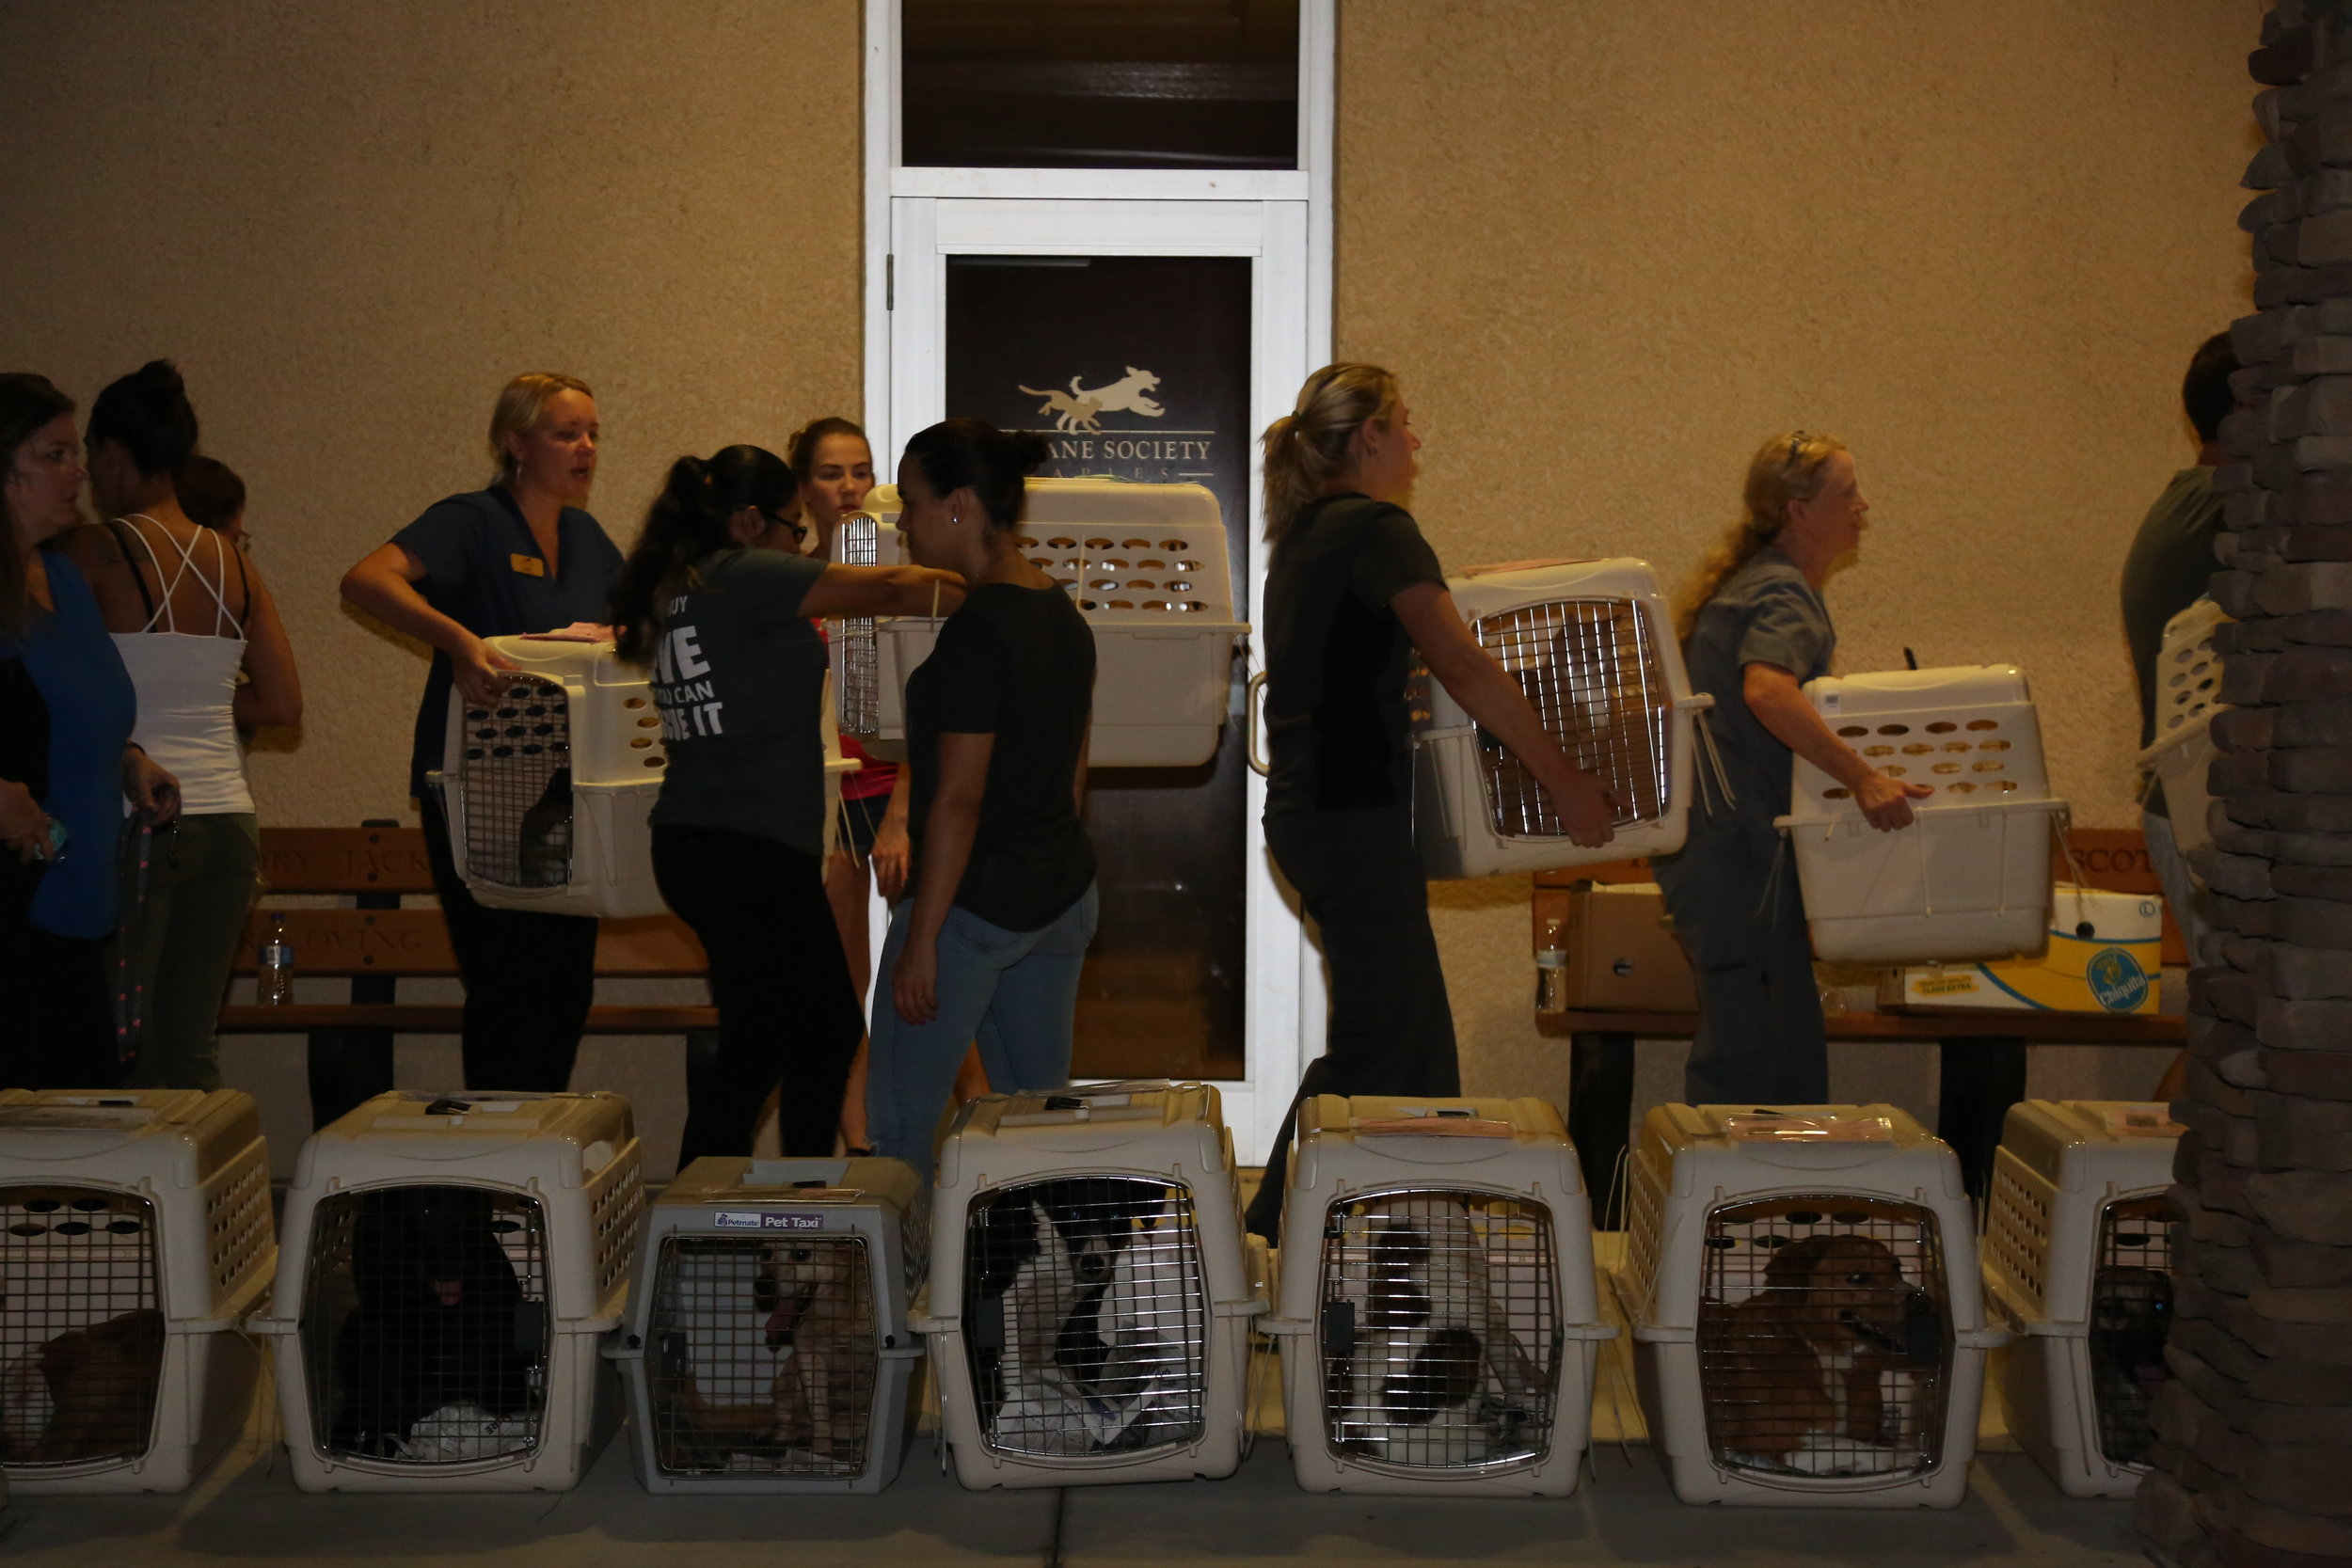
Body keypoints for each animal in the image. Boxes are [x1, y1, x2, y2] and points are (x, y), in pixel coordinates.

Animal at [1703, 1241, 1938, 1476]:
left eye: (1896, 1267)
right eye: (1858, 1276)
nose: (1924, 1302)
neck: (1828, 1359)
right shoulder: (1762, 1448)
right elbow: (1846, 1446)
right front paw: (1899, 1455)